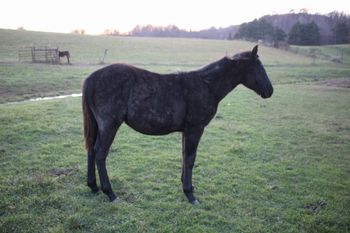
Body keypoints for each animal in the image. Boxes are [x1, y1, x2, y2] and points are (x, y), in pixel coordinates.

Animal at [82, 45, 274, 204]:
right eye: (258, 68)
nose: (270, 91)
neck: (206, 85)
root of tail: (91, 78)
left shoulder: (186, 131)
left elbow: (184, 155)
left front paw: (187, 186)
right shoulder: (195, 129)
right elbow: (190, 158)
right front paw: (190, 194)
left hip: (99, 125)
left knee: (91, 149)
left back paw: (93, 186)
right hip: (110, 125)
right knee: (100, 153)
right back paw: (110, 193)